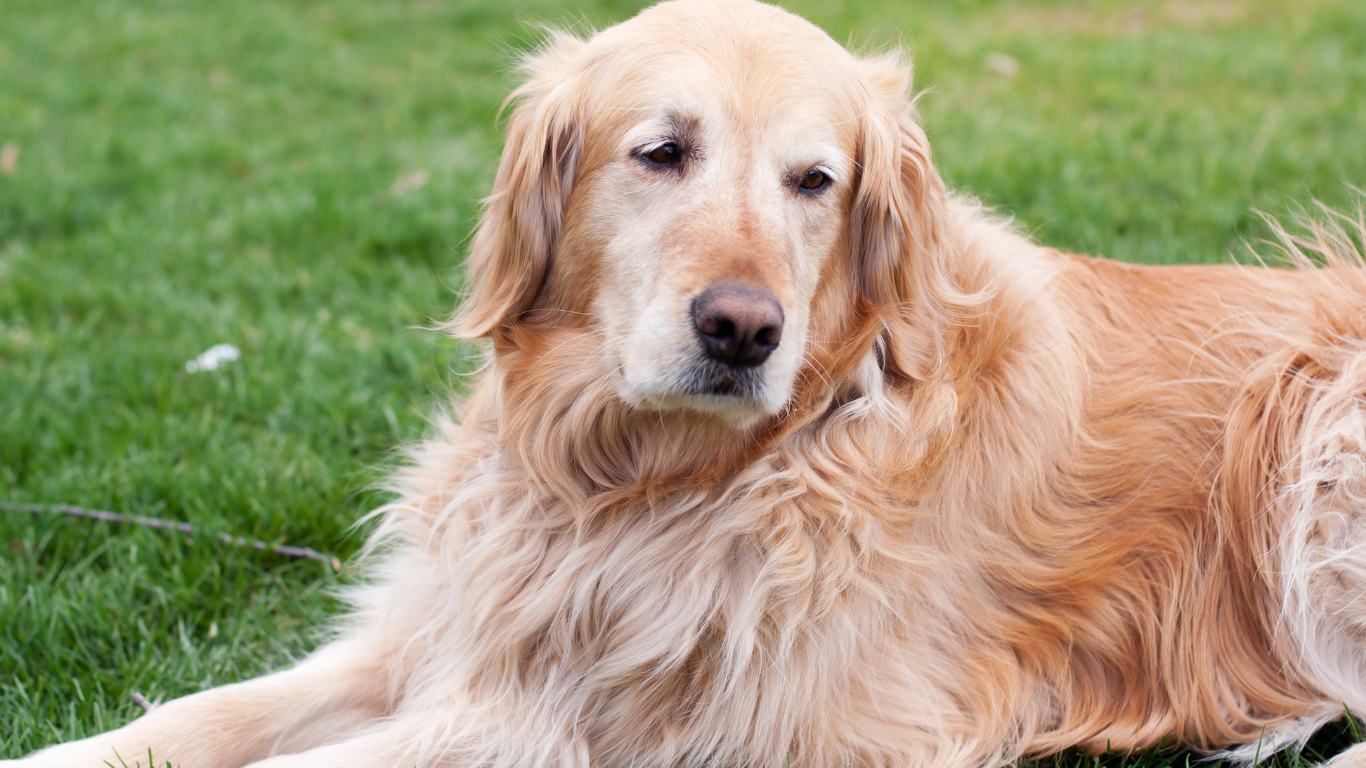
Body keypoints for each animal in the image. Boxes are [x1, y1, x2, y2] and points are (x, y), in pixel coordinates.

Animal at [8, 0, 1366, 759]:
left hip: (1316, 428)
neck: (626, 486)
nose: (742, 330)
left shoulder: (701, 724)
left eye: (814, 181)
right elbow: (187, 721)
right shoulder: (445, 628)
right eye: (660, 152)